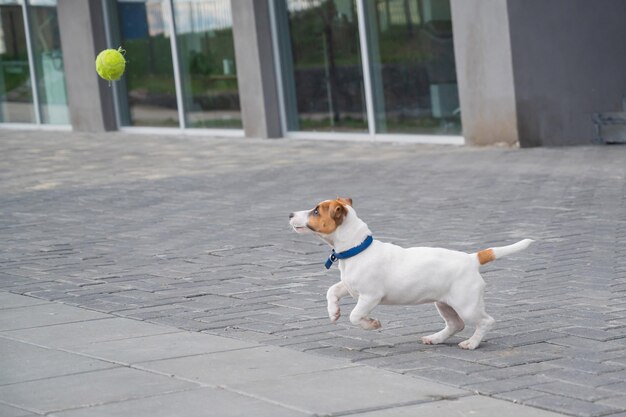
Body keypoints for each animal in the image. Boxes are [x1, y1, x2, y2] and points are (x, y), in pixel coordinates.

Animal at [288, 197, 532, 348]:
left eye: (316, 211)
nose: (290, 214)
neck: (357, 248)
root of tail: (472, 258)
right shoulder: (349, 287)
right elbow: (331, 291)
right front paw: (333, 312)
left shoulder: (370, 297)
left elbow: (355, 316)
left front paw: (372, 324)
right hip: (444, 303)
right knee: (456, 324)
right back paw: (435, 339)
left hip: (467, 304)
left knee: (486, 321)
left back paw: (471, 343)